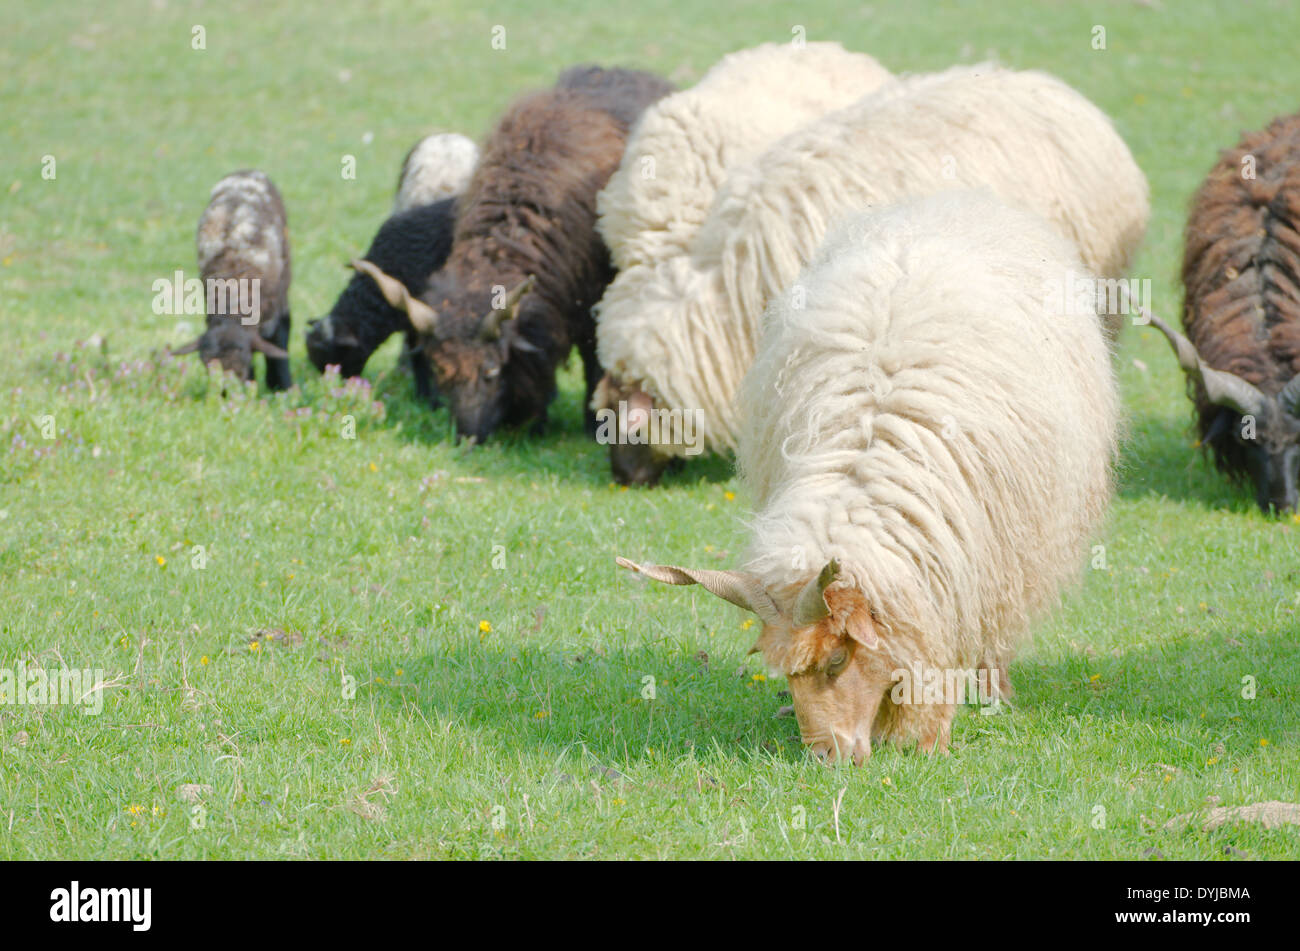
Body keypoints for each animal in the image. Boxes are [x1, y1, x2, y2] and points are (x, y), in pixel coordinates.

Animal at [618, 189, 1118, 763]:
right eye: (784, 672)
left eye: (837, 660)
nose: (824, 758)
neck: (865, 462)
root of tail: (947, 201)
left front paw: (926, 734)